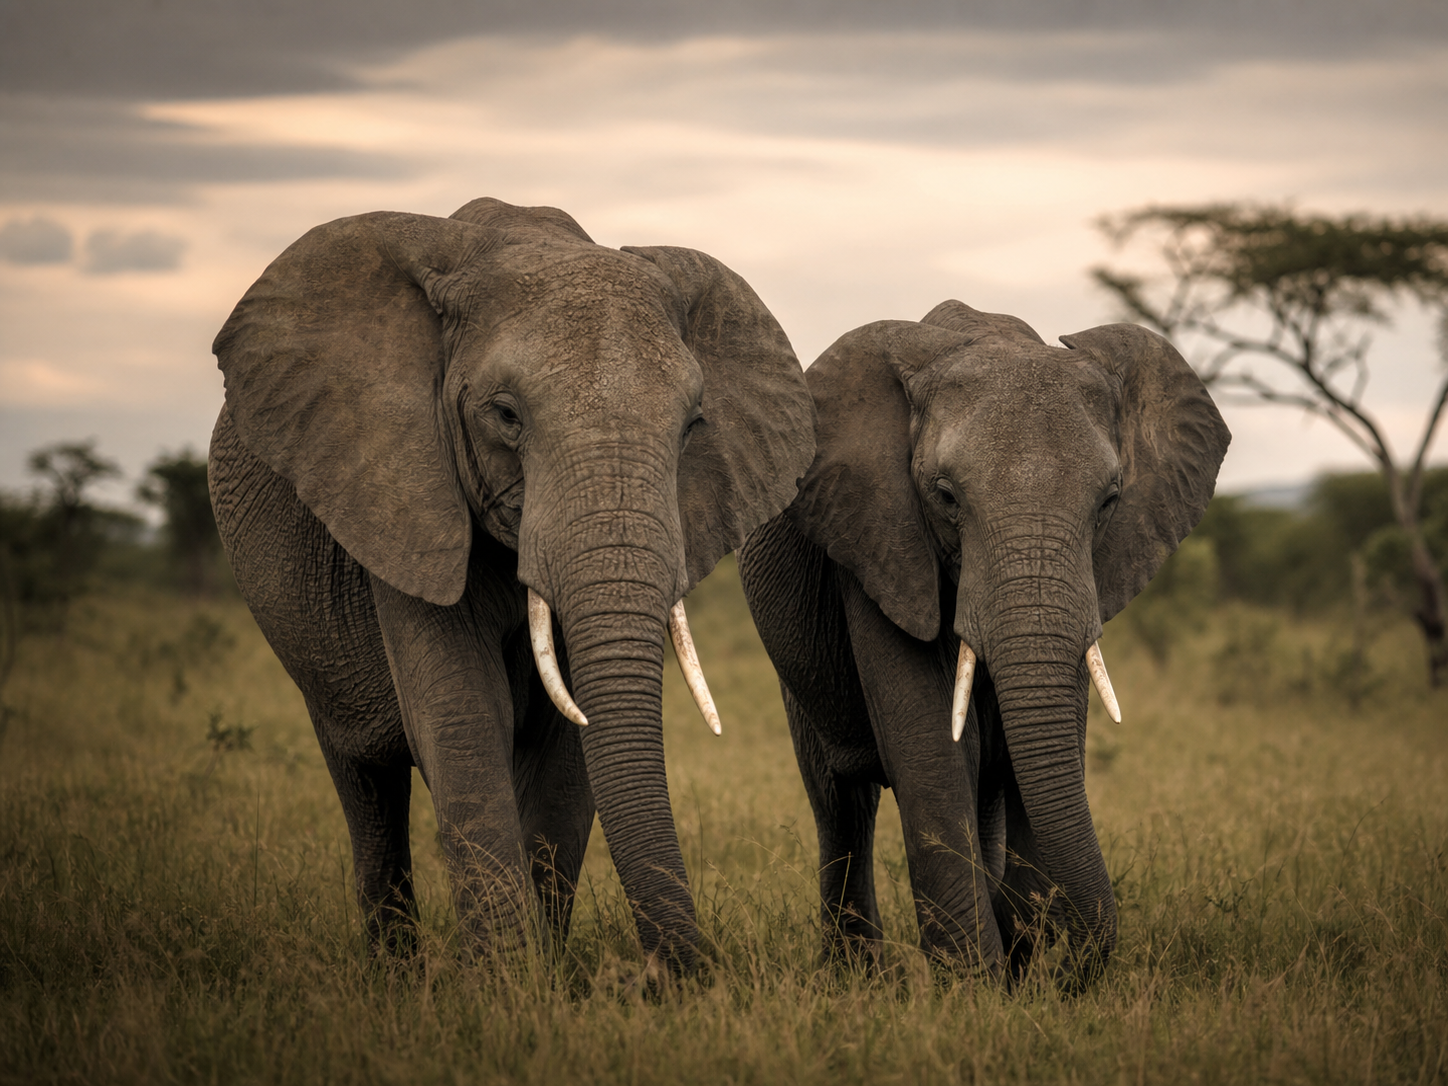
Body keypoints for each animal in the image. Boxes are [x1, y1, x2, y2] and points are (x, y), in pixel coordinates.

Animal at [207, 197, 815, 973]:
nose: (663, 976)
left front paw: (542, 977)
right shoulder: (403, 495)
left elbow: (570, 743)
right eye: (505, 416)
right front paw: (504, 982)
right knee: (365, 781)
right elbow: (465, 715)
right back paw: (395, 976)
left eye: (691, 428)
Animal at [737, 301, 1228, 987]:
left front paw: (1014, 957)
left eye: (1109, 501)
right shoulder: (879, 539)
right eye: (945, 497)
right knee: (841, 803)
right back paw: (860, 981)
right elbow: (934, 751)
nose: (1070, 974)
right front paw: (974, 988)